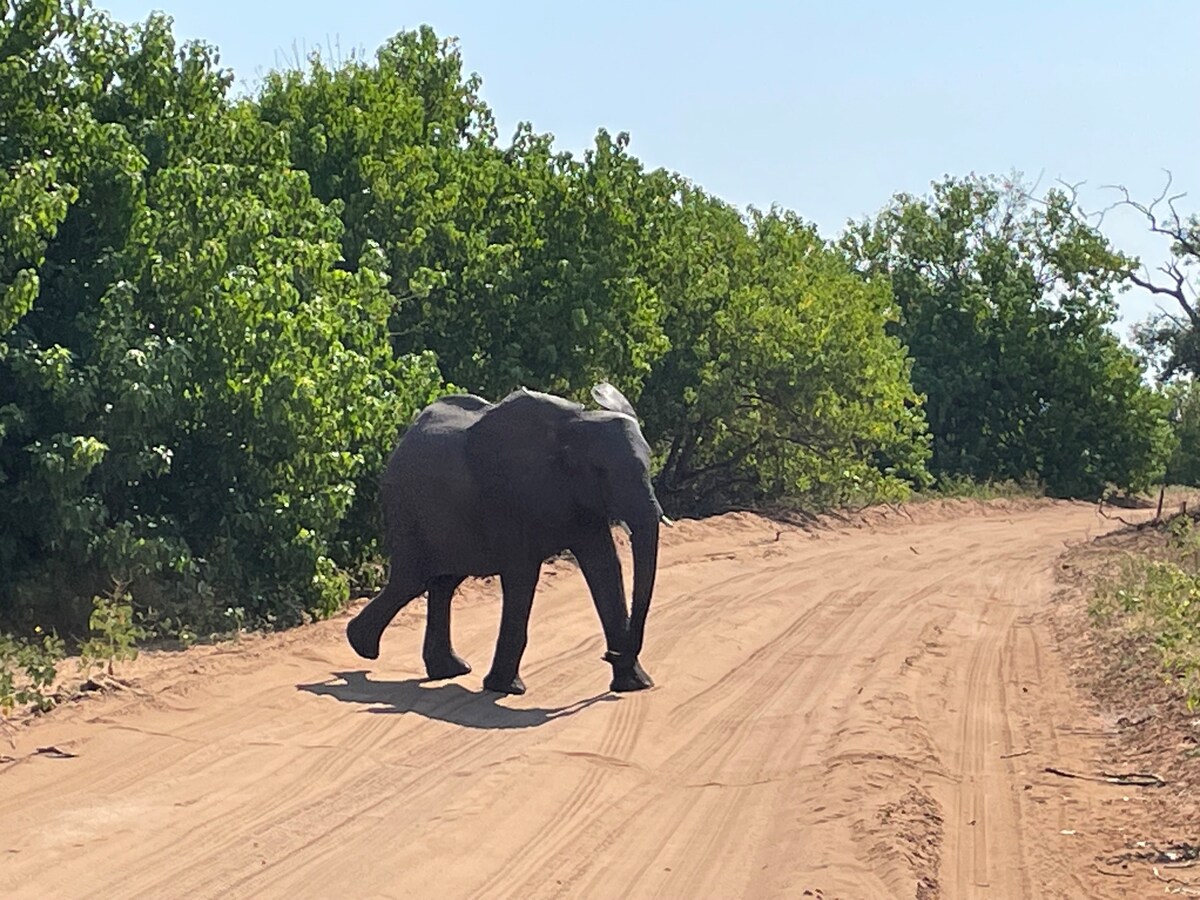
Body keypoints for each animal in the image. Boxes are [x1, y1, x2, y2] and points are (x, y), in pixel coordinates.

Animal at [345, 381, 667, 696]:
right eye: (601, 471)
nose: (609, 655)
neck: (575, 429)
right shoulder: (510, 495)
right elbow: (522, 575)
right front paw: (506, 689)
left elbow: (605, 568)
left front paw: (635, 685)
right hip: (406, 506)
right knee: (413, 579)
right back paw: (362, 646)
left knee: (442, 583)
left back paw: (447, 669)